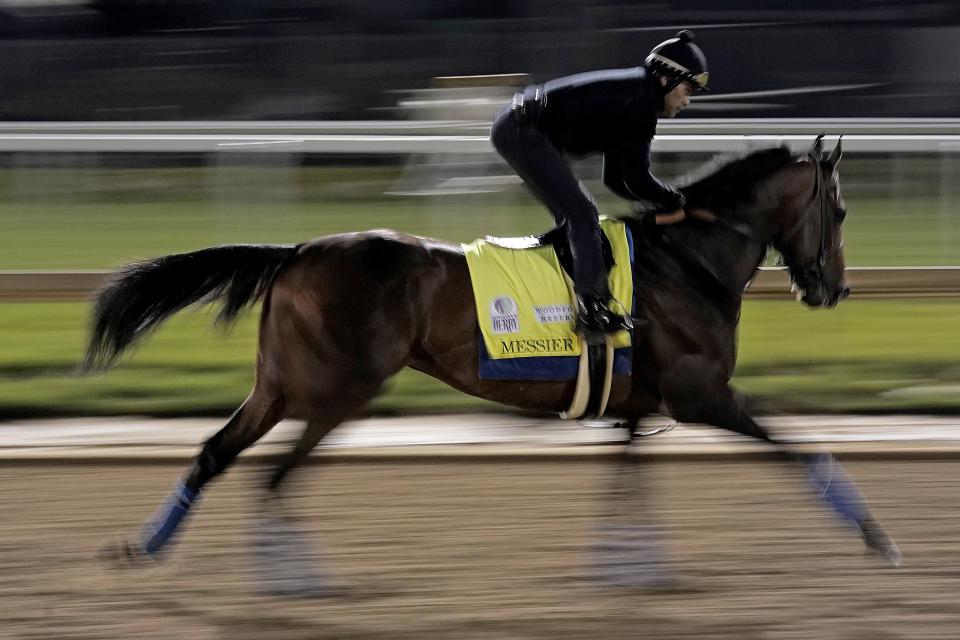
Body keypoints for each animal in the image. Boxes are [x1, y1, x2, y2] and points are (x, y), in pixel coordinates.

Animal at [88, 138, 900, 584]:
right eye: (841, 210)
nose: (833, 287)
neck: (688, 259)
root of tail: (297, 250)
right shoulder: (701, 394)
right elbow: (795, 448)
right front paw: (878, 536)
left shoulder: (640, 405)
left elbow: (627, 482)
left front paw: (624, 568)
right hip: (337, 389)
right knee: (275, 476)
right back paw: (299, 582)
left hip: (281, 385)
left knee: (216, 454)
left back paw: (147, 546)